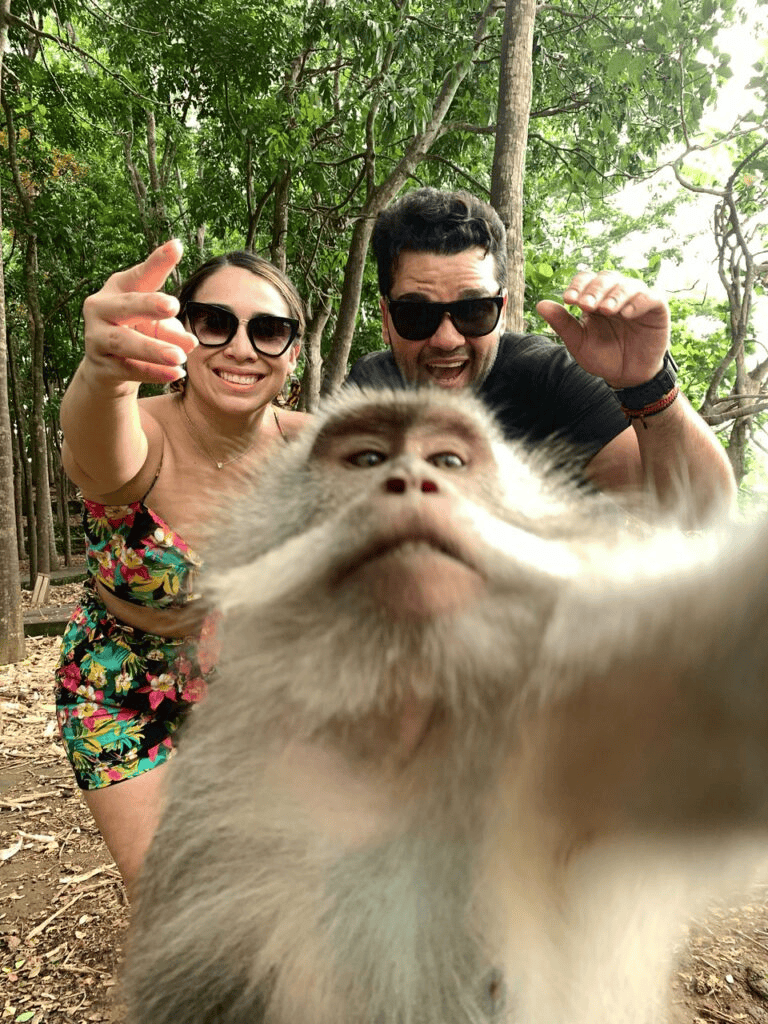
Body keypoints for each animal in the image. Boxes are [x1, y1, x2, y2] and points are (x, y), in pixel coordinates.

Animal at [124, 387, 768, 1024]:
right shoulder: (220, 792)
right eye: (368, 459)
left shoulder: (583, 706)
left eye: (448, 462)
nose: (411, 480)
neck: (402, 719)